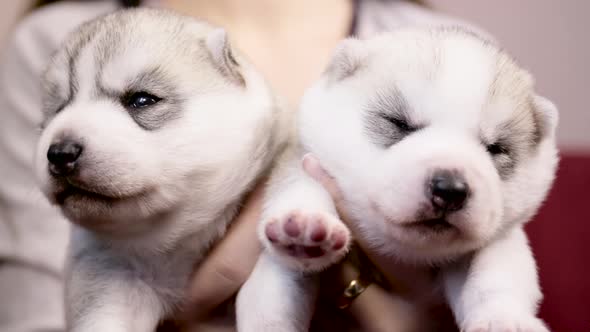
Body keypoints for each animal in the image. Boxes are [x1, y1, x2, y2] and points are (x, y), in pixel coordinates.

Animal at [239, 27, 560, 330]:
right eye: (398, 123)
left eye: (495, 148)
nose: (450, 189)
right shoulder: (303, 157)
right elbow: (299, 189)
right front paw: (305, 224)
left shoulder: (501, 236)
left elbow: (499, 270)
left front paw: (504, 318)